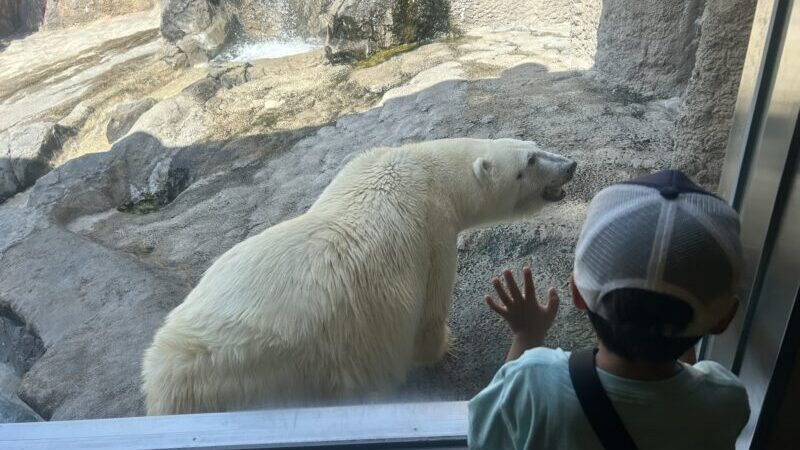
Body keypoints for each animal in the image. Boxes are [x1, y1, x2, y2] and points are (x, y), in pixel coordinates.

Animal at [141, 137, 572, 414]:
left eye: (536, 145)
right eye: (530, 161)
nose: (570, 165)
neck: (421, 168)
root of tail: (170, 379)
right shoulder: (434, 235)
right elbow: (429, 314)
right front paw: (445, 346)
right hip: (284, 369)